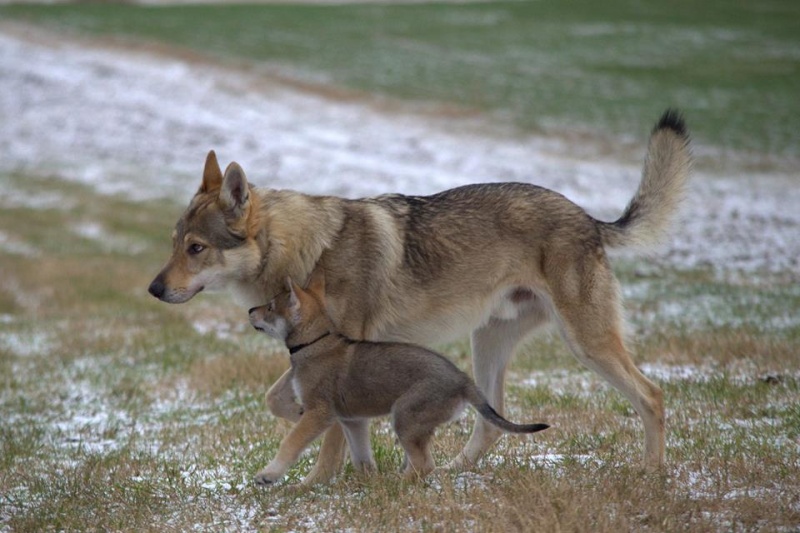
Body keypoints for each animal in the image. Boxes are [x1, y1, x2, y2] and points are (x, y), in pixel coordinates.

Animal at [250, 270, 552, 482]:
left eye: (270, 307)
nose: (251, 310)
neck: (316, 343)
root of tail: (464, 381)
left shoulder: (319, 412)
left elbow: (291, 442)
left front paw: (269, 475)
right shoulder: (352, 420)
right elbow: (361, 457)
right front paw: (368, 480)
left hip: (404, 416)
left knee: (424, 464)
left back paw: (397, 481)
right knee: (421, 461)